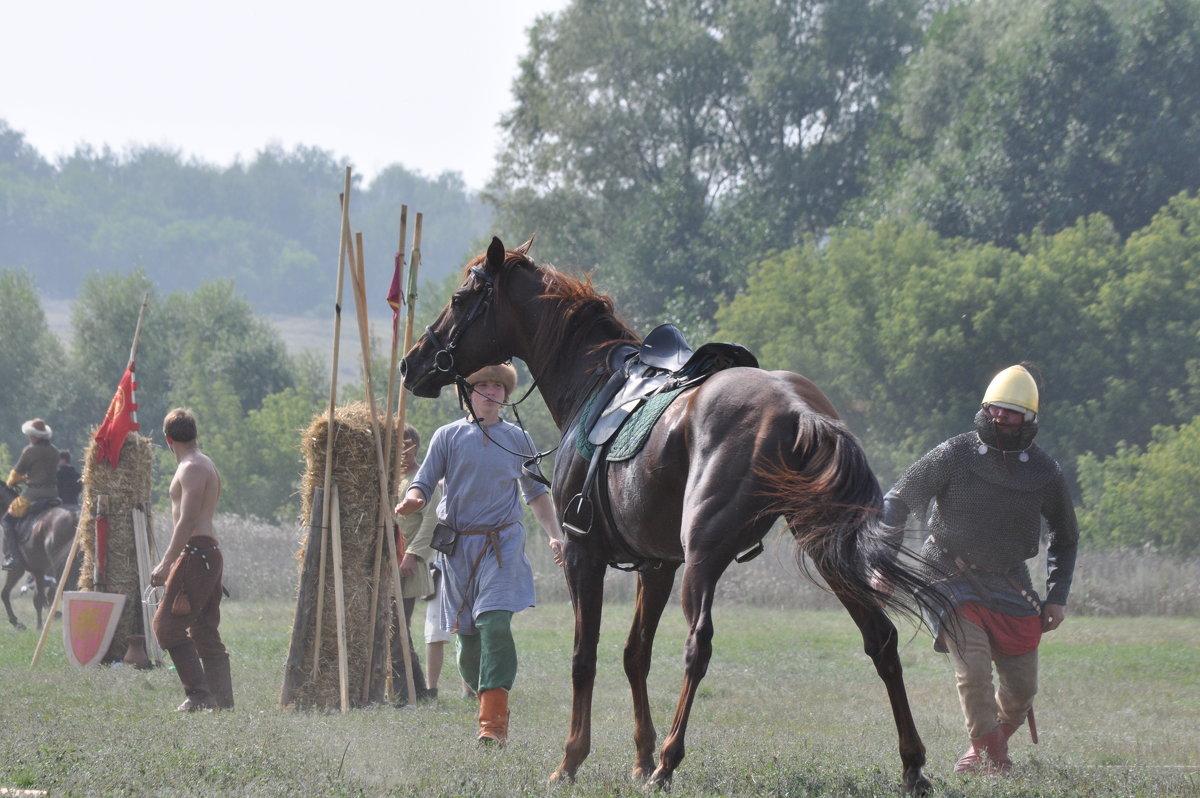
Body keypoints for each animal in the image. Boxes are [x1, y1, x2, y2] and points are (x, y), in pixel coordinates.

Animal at [0, 480, 79, 628]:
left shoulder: (16, 569)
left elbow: (5, 593)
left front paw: (16, 623)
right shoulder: (37, 571)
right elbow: (38, 599)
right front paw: (40, 625)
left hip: (59, 567)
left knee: (61, 591)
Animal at [400, 235, 936, 792]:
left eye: (460, 298)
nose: (411, 364)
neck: (590, 380)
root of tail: (796, 408)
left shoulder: (583, 556)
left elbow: (584, 658)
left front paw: (572, 760)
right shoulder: (656, 566)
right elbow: (635, 654)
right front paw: (637, 755)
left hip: (704, 559)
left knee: (698, 647)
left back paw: (668, 761)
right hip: (822, 547)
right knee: (880, 638)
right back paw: (913, 765)